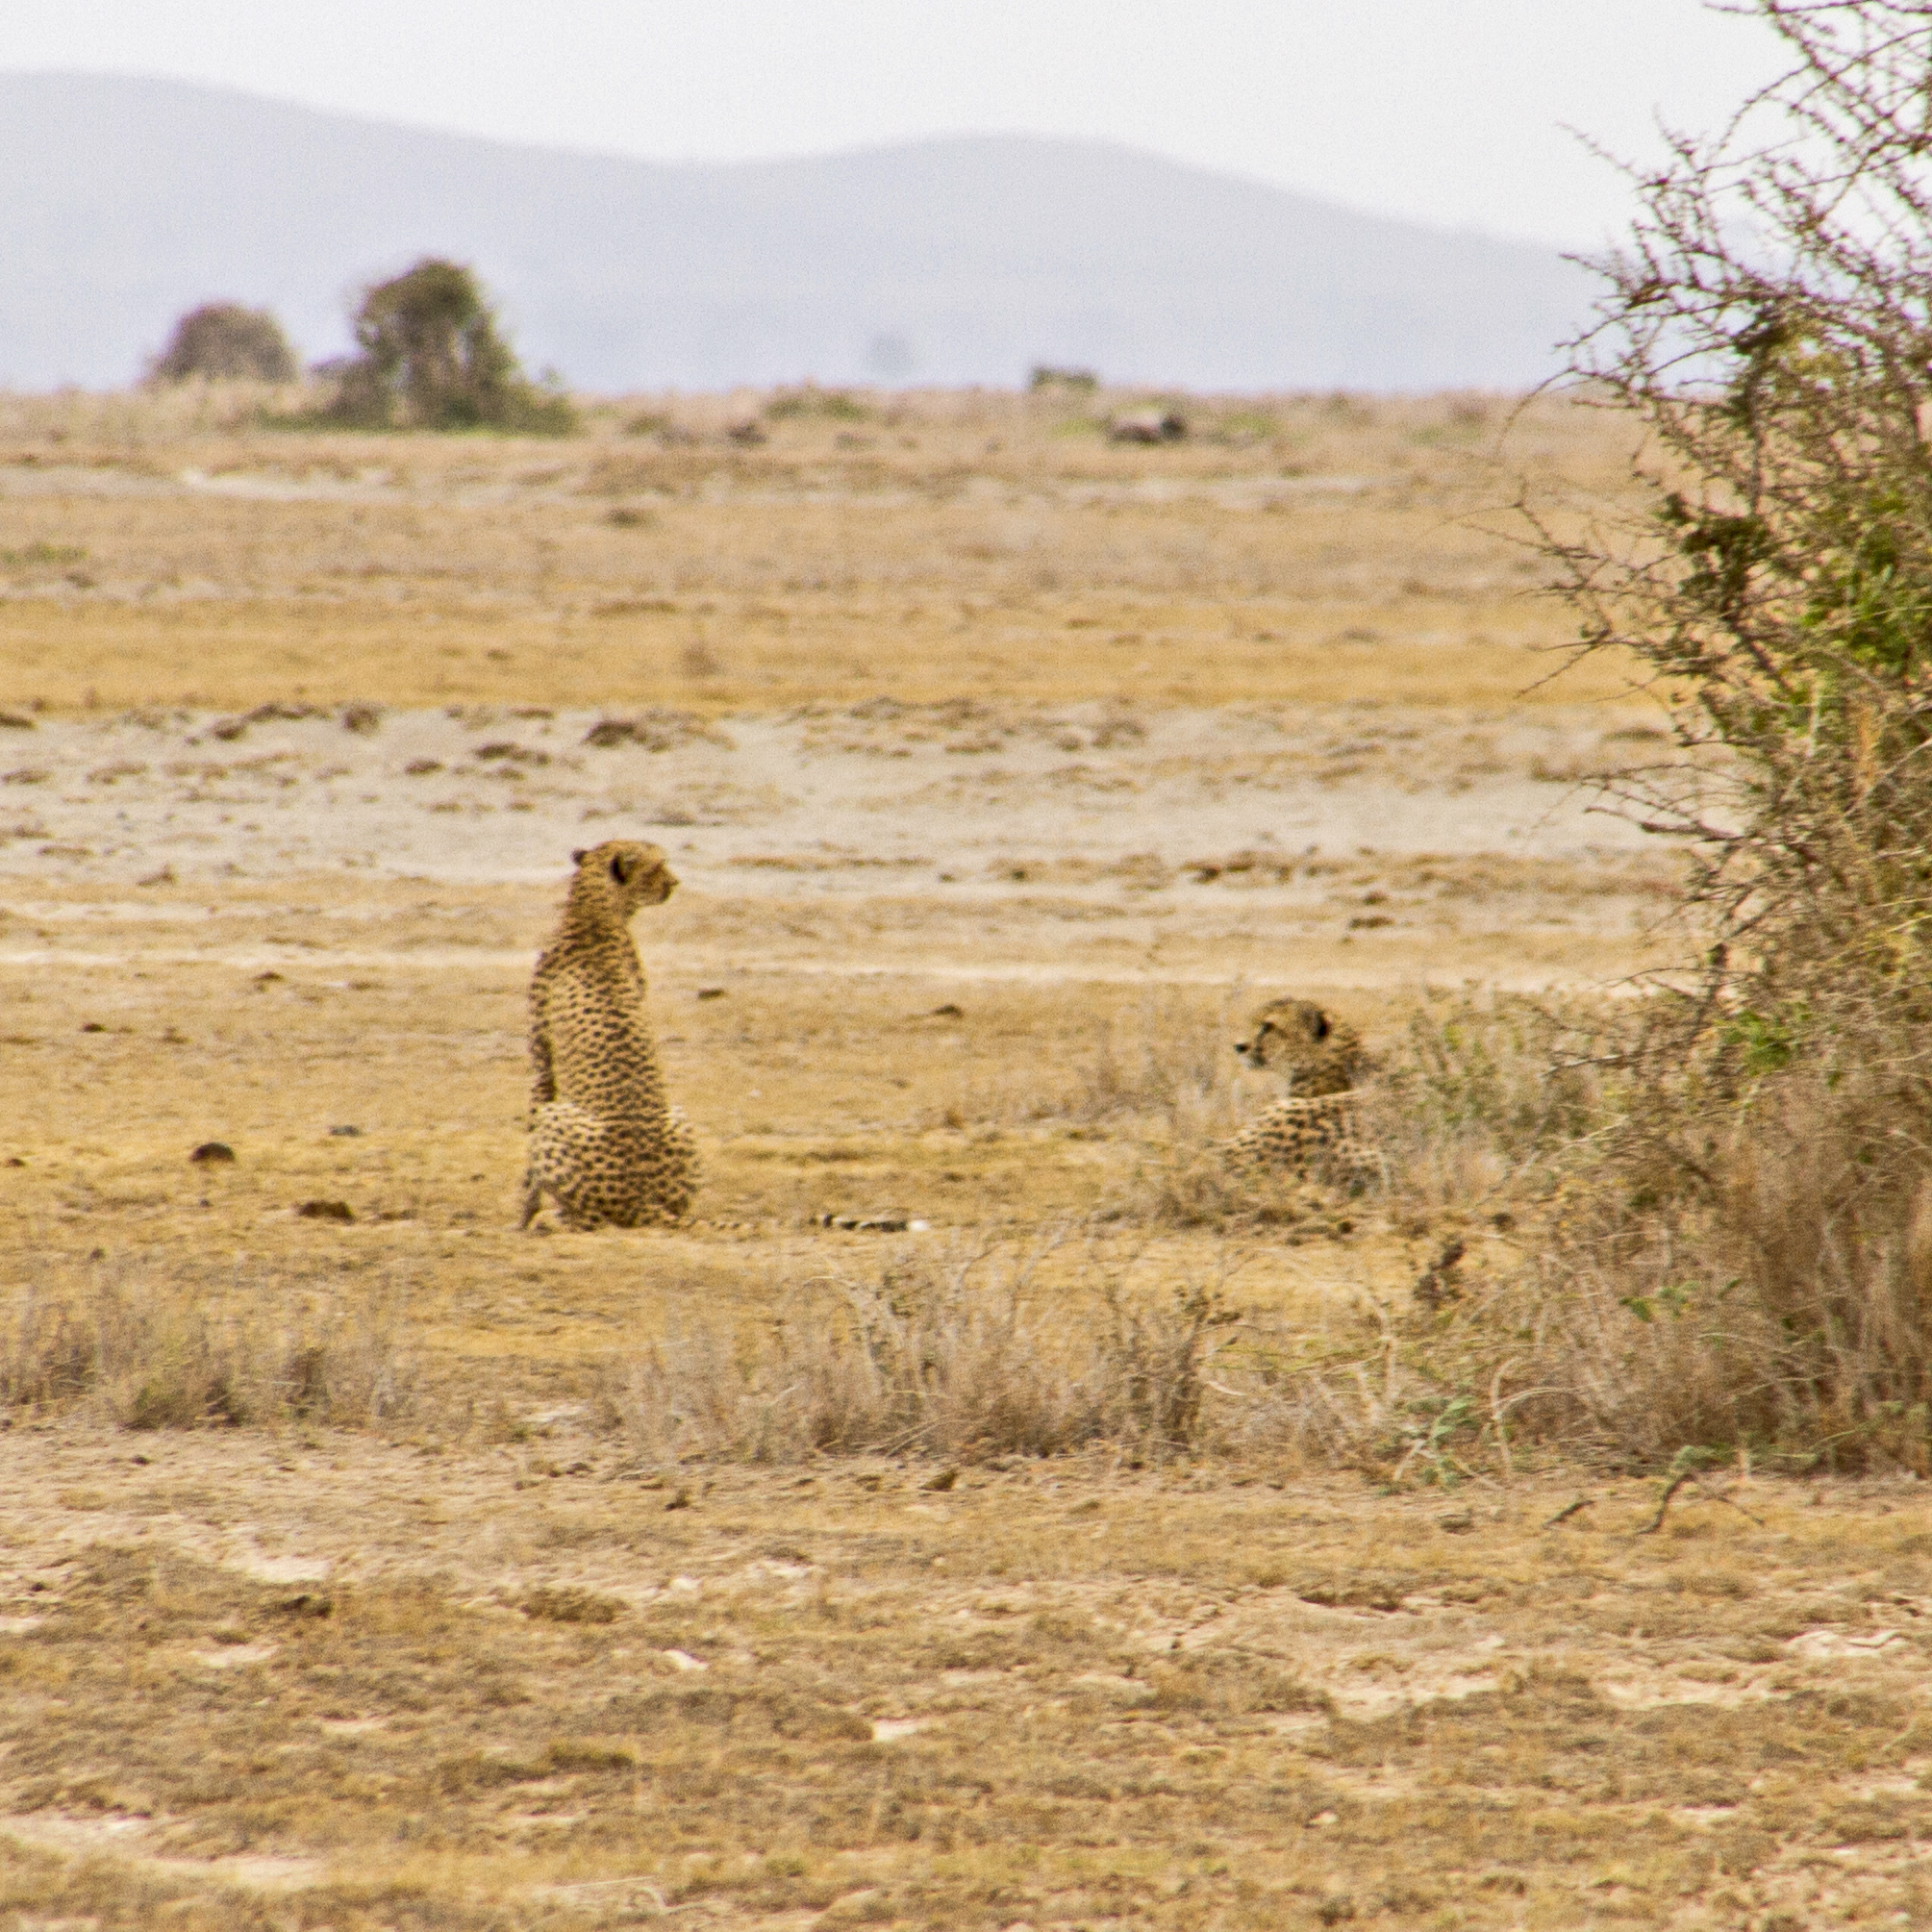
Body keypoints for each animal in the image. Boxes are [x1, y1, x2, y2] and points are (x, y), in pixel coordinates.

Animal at [517, 838, 699, 1228]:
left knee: (586, 1219)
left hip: (557, 1118)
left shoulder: (542, 1065)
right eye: (657, 866)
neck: (594, 910)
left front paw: (522, 1215)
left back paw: (550, 1219)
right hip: (680, 1117)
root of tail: (644, 1200)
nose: (675, 883)